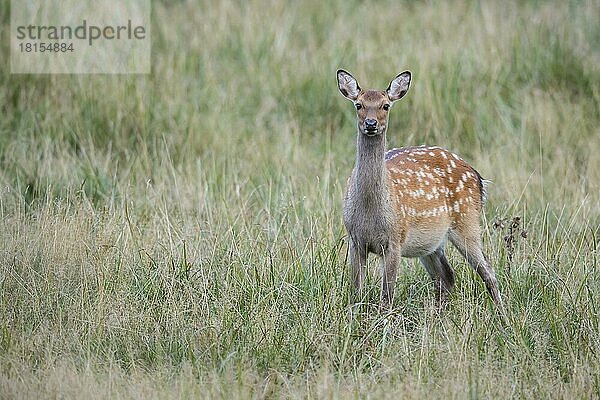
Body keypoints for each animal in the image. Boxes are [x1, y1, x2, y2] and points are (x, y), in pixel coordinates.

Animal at [338, 70, 502, 310]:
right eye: (358, 104)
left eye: (385, 105)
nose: (370, 123)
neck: (371, 214)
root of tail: (478, 177)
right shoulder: (355, 240)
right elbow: (356, 291)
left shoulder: (395, 239)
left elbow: (387, 296)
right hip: (431, 243)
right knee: (446, 276)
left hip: (468, 222)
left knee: (488, 271)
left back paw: (503, 315)